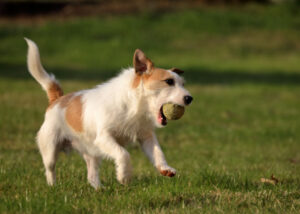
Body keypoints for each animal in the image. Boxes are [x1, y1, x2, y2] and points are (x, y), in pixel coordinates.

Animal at [26, 38, 195, 189]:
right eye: (169, 82)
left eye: (183, 84)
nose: (189, 98)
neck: (135, 106)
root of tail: (57, 99)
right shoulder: (104, 137)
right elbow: (124, 154)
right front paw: (124, 176)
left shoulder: (146, 136)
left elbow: (158, 153)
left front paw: (165, 168)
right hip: (50, 147)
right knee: (50, 169)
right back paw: (53, 186)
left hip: (92, 154)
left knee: (91, 174)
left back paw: (99, 189)